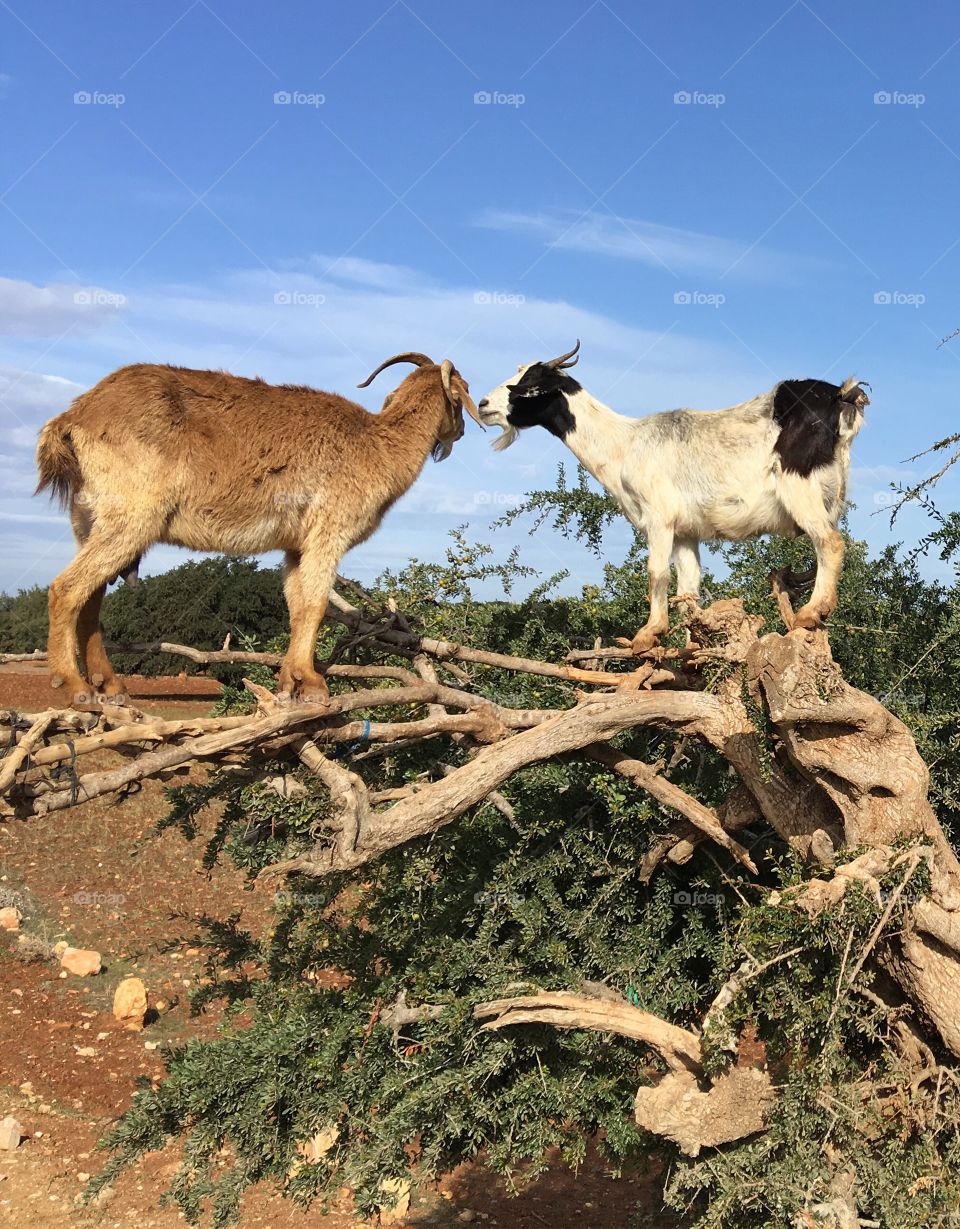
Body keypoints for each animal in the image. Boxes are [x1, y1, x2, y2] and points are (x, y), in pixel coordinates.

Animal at [35, 353, 481, 705]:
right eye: (464, 392)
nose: (461, 430)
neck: (378, 444)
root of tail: (74, 418)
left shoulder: (294, 547)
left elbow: (297, 606)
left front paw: (289, 683)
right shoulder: (328, 533)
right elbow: (315, 603)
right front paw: (314, 684)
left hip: (87, 521)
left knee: (91, 598)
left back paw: (110, 686)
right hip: (131, 517)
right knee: (66, 588)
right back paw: (75, 686)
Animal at [478, 341, 869, 652]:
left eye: (528, 384)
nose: (482, 404)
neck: (623, 444)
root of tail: (842, 396)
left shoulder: (658, 517)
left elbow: (656, 573)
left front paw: (649, 634)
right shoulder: (686, 533)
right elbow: (688, 592)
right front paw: (692, 647)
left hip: (799, 486)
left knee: (830, 542)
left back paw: (810, 612)